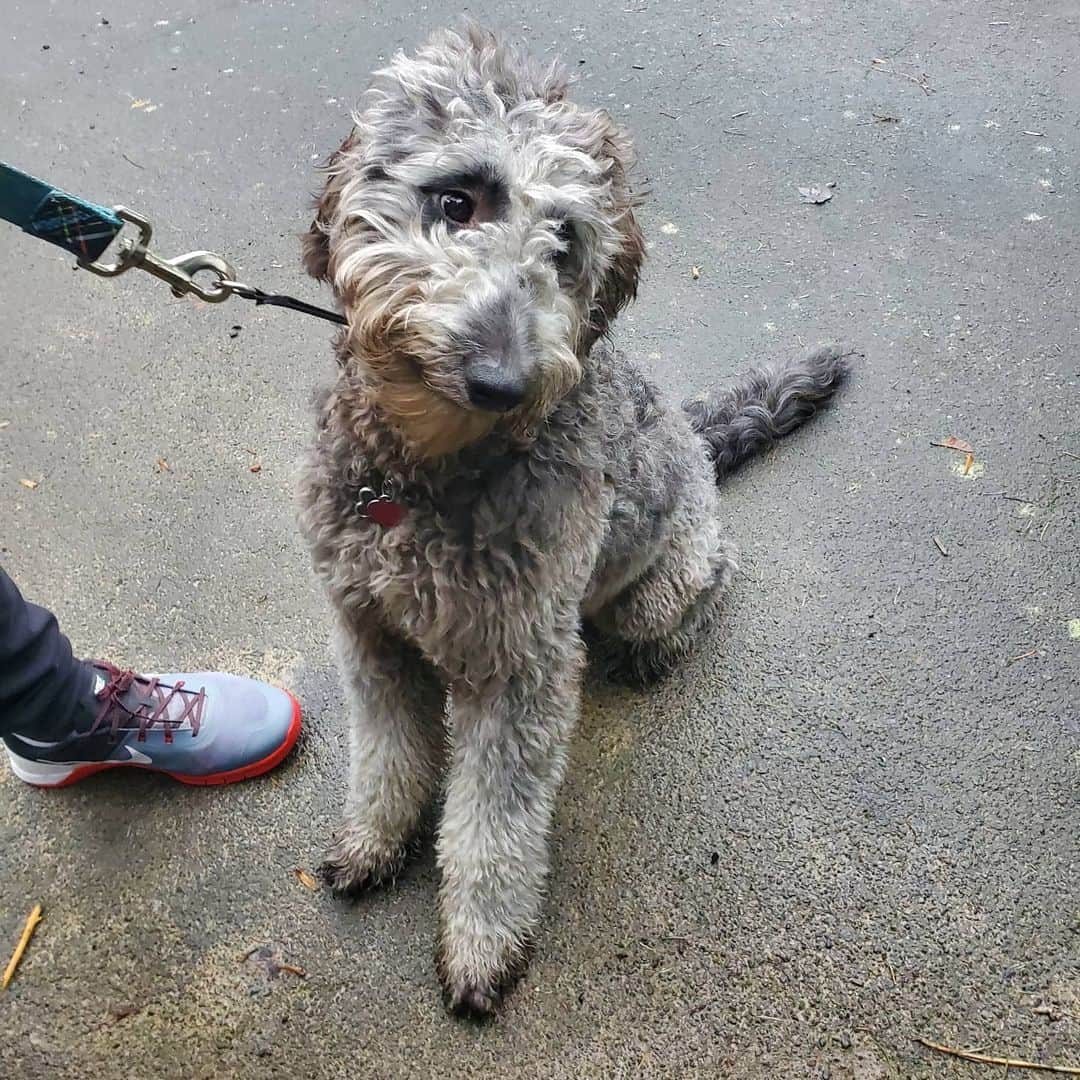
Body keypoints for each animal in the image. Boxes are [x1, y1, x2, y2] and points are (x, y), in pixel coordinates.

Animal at [298, 27, 851, 1019]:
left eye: (566, 244)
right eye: (457, 201)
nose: (503, 380)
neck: (426, 478)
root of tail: (699, 440)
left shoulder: (521, 665)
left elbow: (494, 826)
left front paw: (481, 945)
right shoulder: (369, 632)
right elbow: (386, 758)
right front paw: (376, 841)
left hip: (658, 583)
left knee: (700, 596)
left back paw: (657, 648)